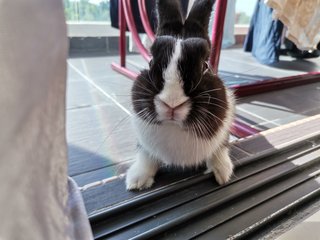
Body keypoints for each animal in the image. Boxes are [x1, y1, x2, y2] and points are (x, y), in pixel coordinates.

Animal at [125, 0, 235, 190]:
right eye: (151, 62)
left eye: (205, 66)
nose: (172, 103)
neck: (174, 126)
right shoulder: (144, 144)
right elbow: (146, 157)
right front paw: (137, 181)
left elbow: (220, 149)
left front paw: (223, 174)